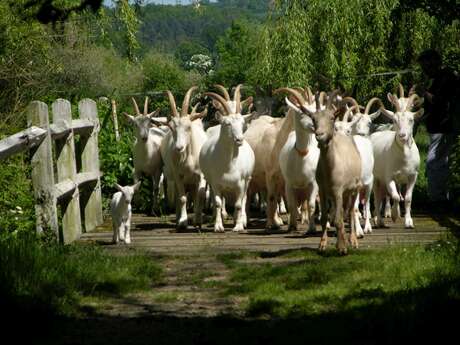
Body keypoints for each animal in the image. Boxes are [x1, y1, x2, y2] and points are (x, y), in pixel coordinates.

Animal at [158, 87, 208, 230]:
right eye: (171, 127)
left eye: (188, 127)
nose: (179, 147)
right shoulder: (178, 176)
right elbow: (182, 198)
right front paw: (183, 221)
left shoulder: (201, 175)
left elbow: (200, 195)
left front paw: (198, 220)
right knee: (178, 197)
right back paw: (177, 218)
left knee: (195, 195)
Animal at [199, 84, 255, 232]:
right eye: (227, 123)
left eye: (242, 122)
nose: (239, 140)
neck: (229, 165)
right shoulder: (216, 183)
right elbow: (218, 202)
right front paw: (218, 226)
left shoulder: (240, 184)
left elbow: (239, 204)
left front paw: (239, 226)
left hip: (247, 180)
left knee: (244, 199)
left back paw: (241, 219)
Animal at [370, 91, 424, 228]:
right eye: (394, 120)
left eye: (411, 120)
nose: (402, 135)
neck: (404, 157)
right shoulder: (389, 176)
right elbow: (395, 196)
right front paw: (394, 215)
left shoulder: (412, 176)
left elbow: (407, 198)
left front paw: (409, 222)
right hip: (376, 178)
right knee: (377, 197)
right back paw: (379, 220)